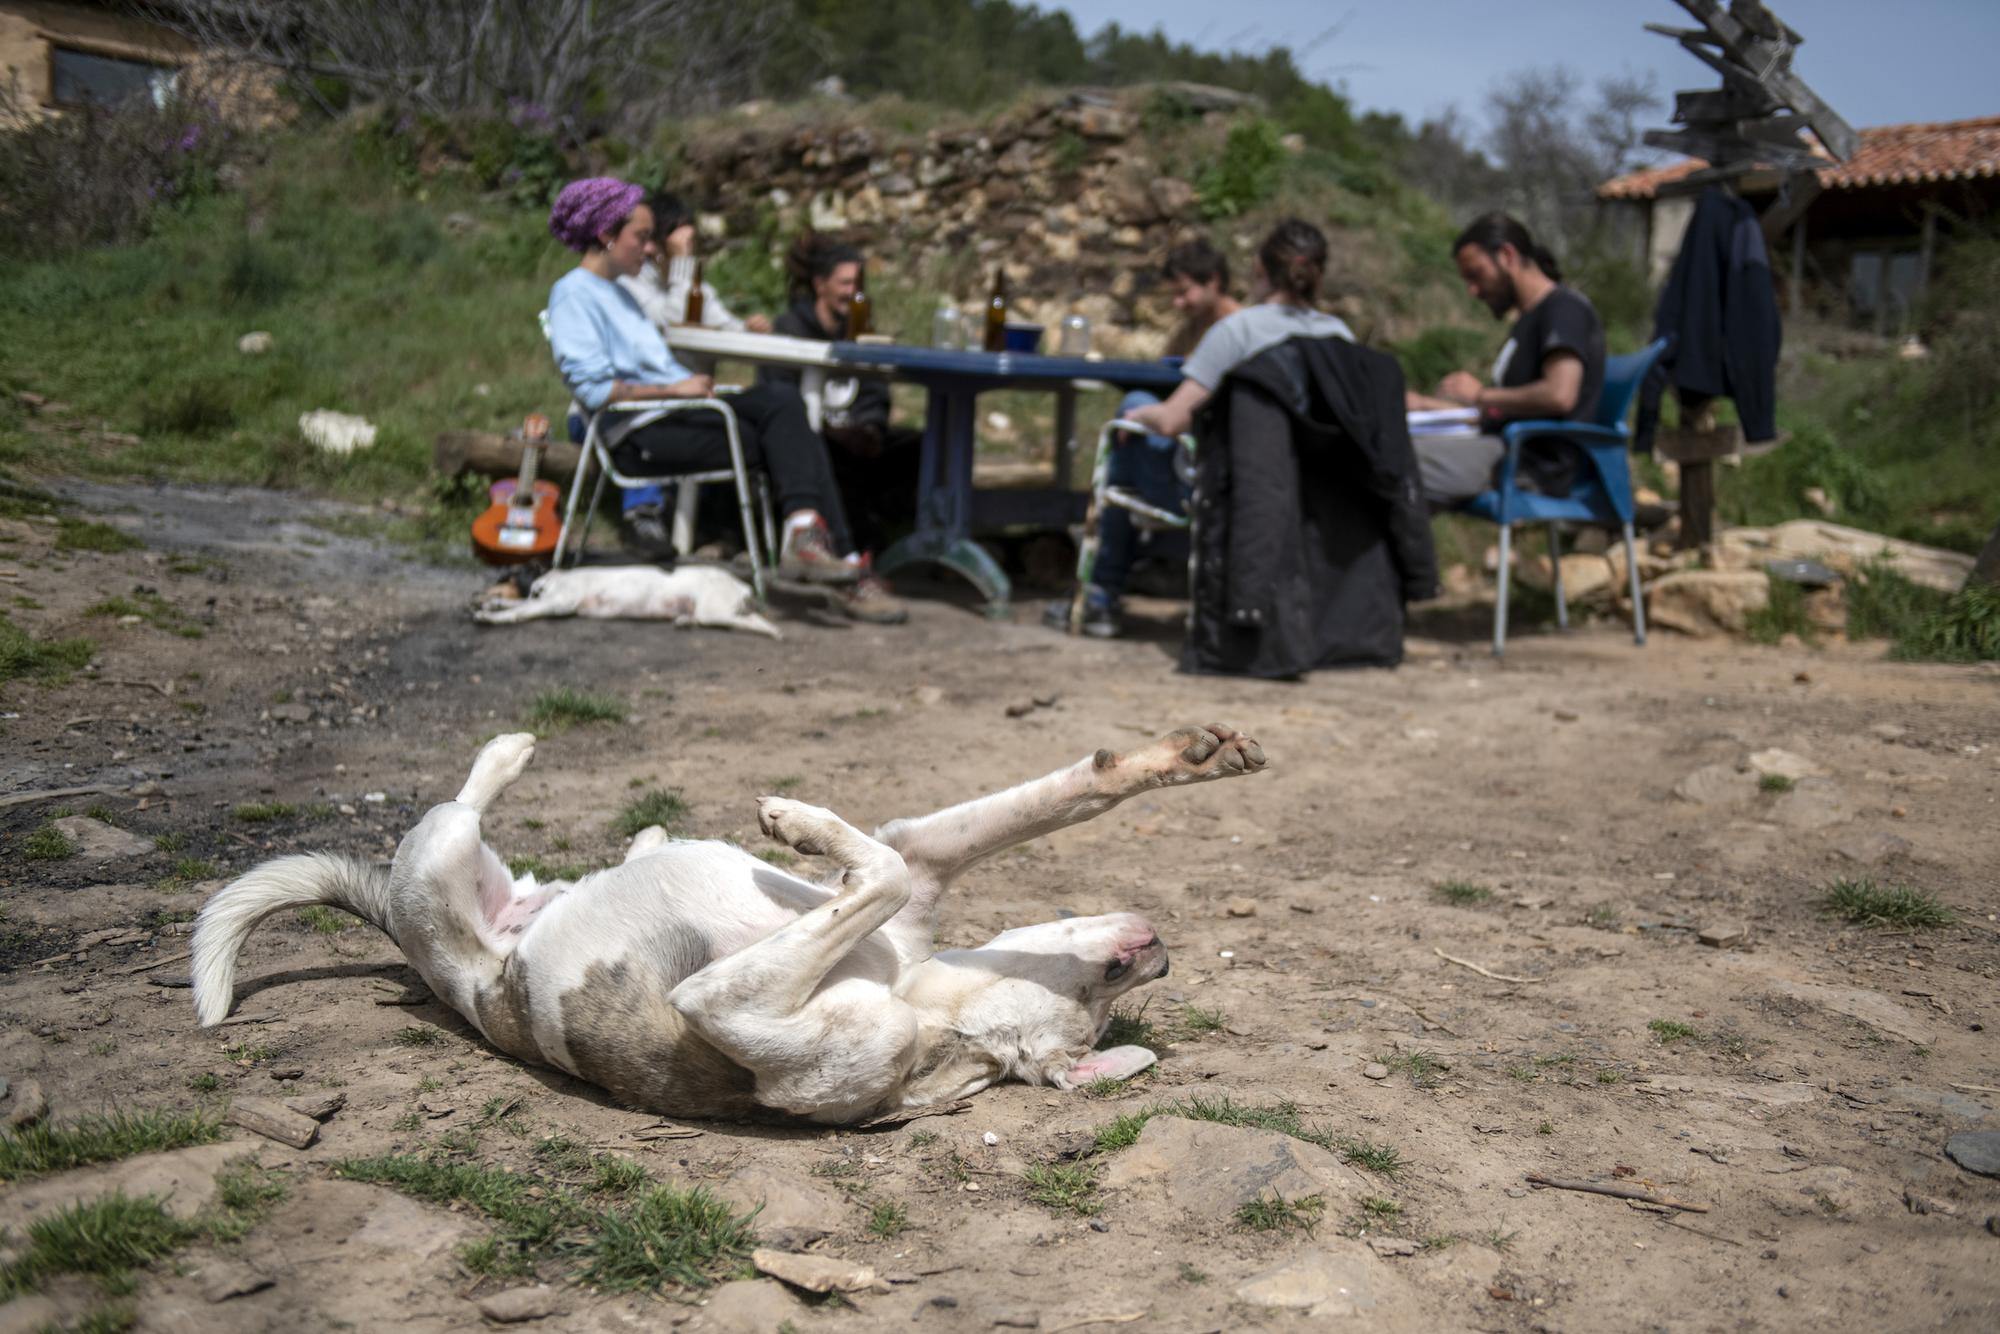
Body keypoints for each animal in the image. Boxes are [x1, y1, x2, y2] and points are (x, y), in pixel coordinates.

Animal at [195, 724, 1272, 1120]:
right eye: (1108, 982)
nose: (1157, 951)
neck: (922, 1003)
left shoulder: (725, 1001)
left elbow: (874, 872)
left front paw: (796, 824)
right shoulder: (925, 856)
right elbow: (1072, 793)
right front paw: (1188, 755)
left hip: (436, 860)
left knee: (456, 802)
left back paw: (510, 757)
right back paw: (601, 806)